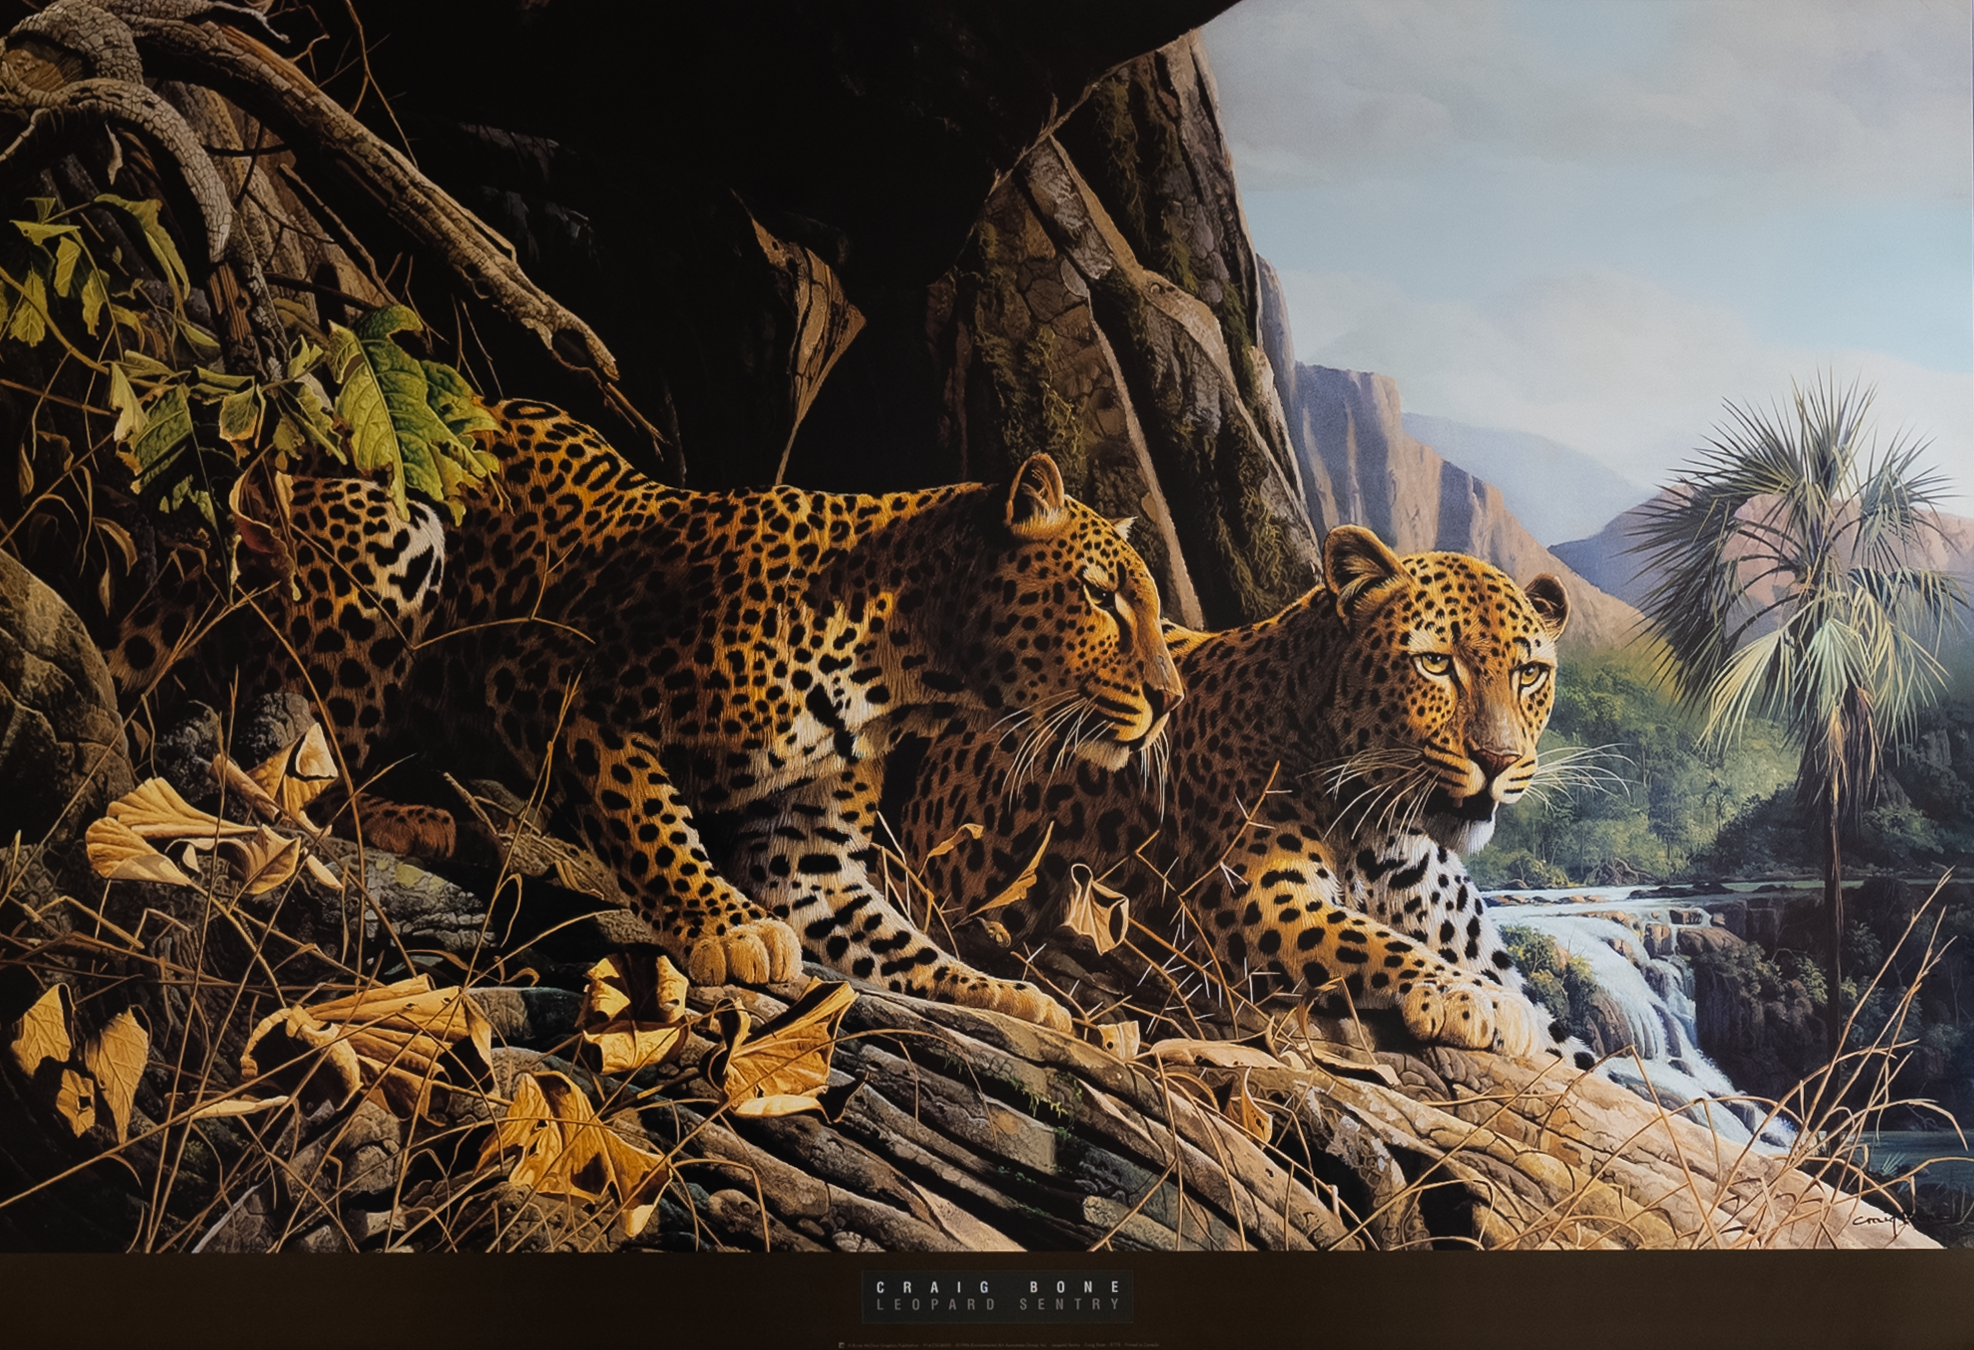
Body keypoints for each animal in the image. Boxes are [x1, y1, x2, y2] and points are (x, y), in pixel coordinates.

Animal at [108, 400, 1183, 1028]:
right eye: (1101, 597)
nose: (1171, 699)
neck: (902, 669)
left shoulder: (812, 858)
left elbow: (902, 945)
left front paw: (1009, 995)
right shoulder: (563, 690)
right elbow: (653, 821)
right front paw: (727, 928)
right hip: (396, 535)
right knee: (298, 766)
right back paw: (415, 817)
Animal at [780, 523, 1594, 1066]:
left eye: (1529, 673)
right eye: (1434, 664)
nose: (1498, 760)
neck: (1391, 834)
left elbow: (1577, 1053)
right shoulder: (1249, 899)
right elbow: (1371, 942)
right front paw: (1473, 1000)